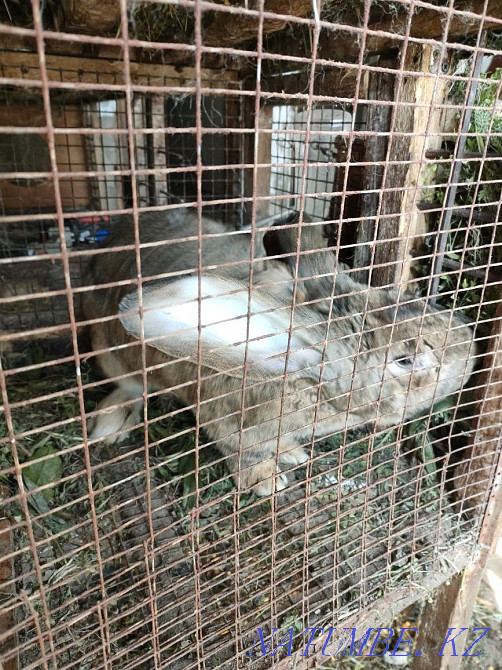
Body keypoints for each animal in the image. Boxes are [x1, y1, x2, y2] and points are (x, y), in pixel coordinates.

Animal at [83, 209, 477, 496]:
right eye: (406, 361)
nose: (471, 347)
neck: (303, 378)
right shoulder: (232, 426)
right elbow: (247, 455)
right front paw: (267, 482)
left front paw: (290, 452)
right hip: (109, 353)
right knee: (130, 387)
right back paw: (111, 424)